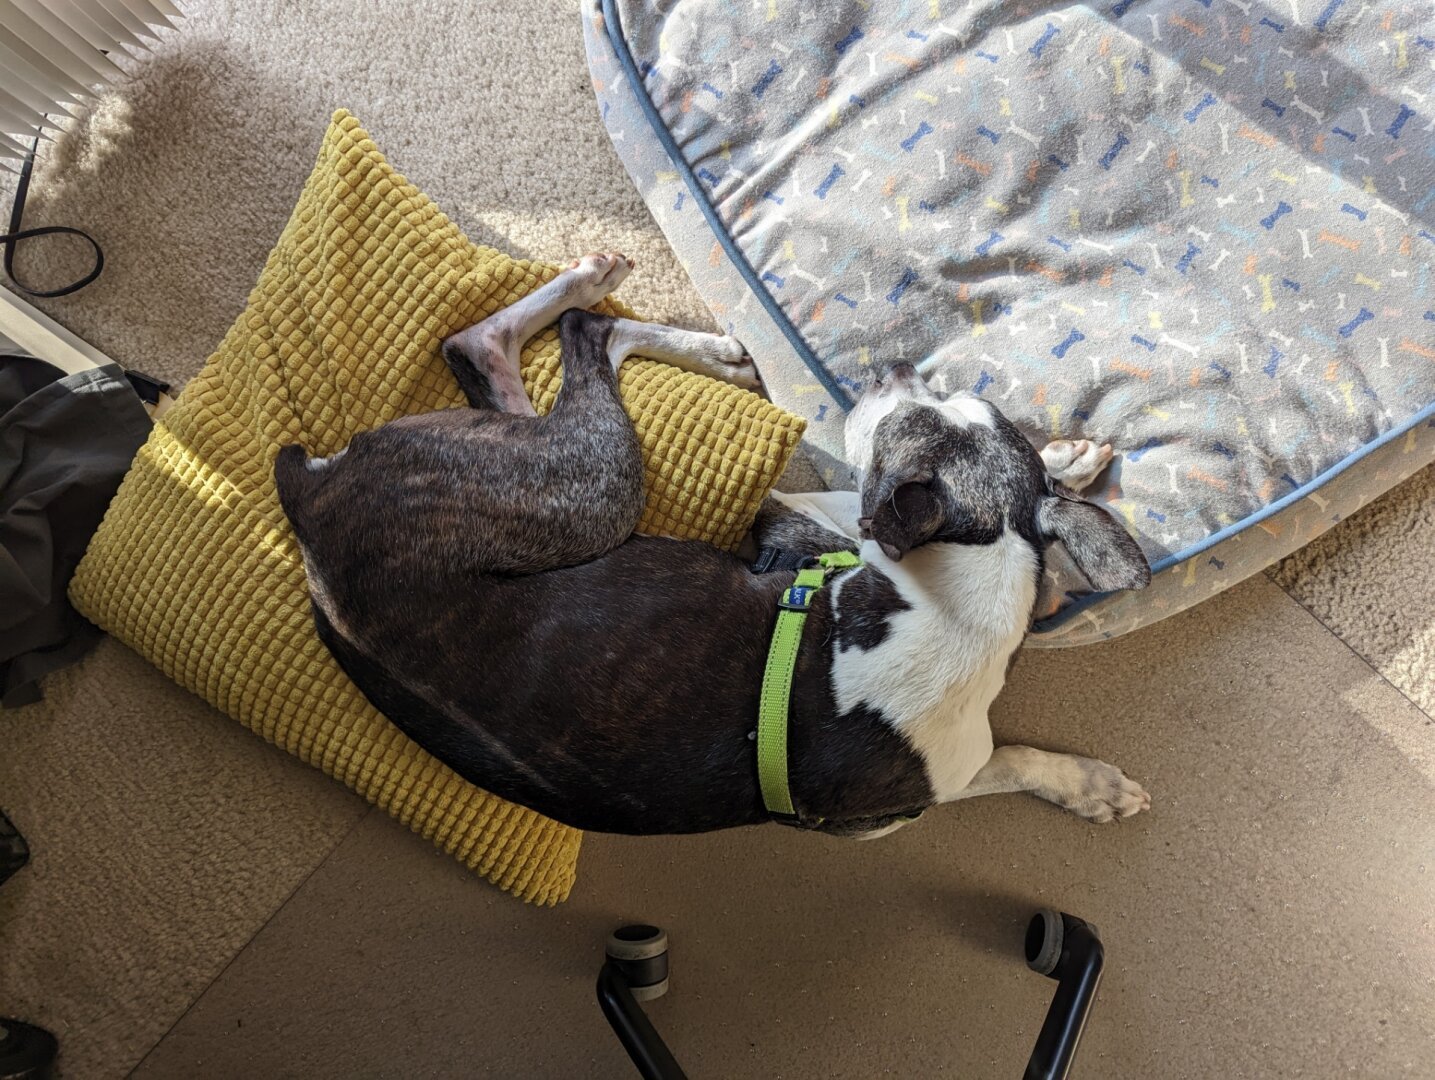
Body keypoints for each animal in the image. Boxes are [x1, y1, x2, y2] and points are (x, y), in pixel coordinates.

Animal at [276, 252, 1153, 831]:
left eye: (907, 420)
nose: (893, 370)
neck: (965, 598)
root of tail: (307, 500)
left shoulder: (938, 768)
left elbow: (1017, 751)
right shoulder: (794, 522)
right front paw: (1062, 467)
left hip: (567, 481)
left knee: (529, 348)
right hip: (591, 491)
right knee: (564, 338)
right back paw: (623, 303)